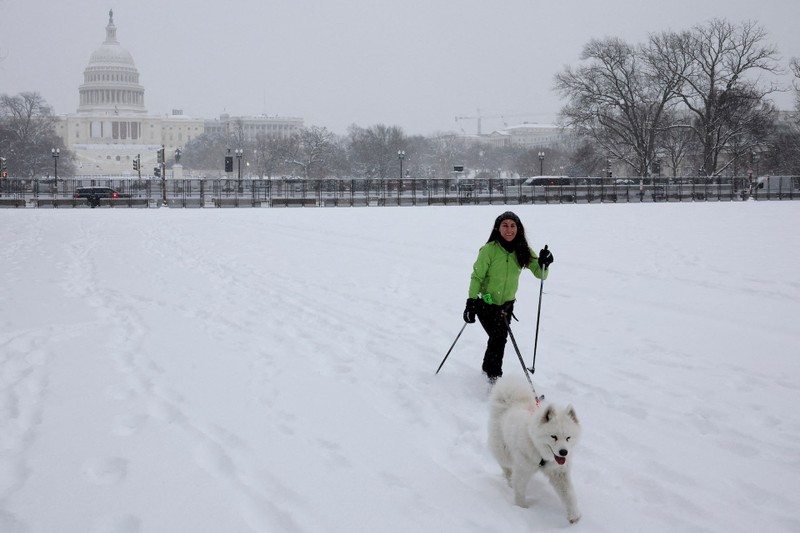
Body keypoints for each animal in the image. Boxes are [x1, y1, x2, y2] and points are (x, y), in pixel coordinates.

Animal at [488, 376, 580, 520]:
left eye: (568, 438)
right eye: (553, 437)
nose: (564, 452)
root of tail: (510, 403)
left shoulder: (559, 472)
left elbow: (568, 494)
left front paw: (574, 516)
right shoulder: (523, 469)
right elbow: (519, 489)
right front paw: (521, 508)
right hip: (503, 451)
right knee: (505, 466)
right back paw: (509, 480)